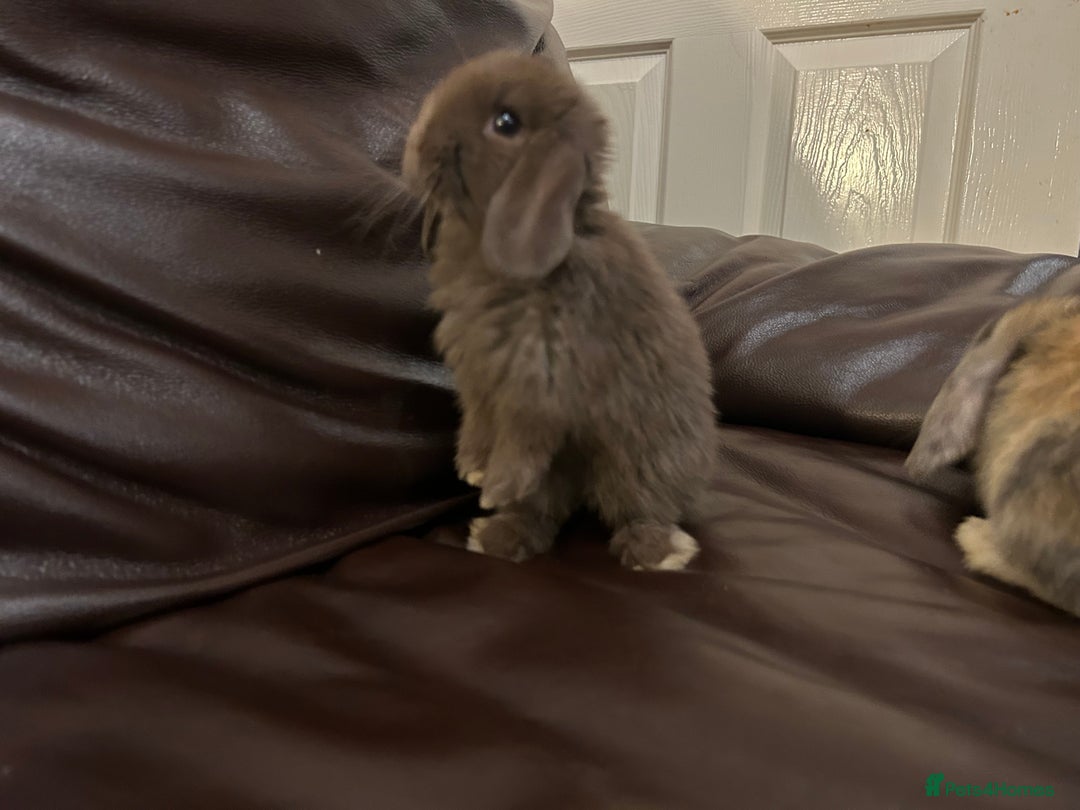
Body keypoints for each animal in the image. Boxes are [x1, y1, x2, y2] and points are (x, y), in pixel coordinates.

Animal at [400, 50, 719, 571]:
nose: (418, 146)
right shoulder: (480, 377)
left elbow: (524, 441)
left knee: (643, 509)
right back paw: (496, 536)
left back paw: (656, 553)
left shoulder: (545, 385)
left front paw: (494, 485)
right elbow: (478, 424)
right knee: (542, 511)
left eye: (506, 122)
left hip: (642, 461)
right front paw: (472, 470)